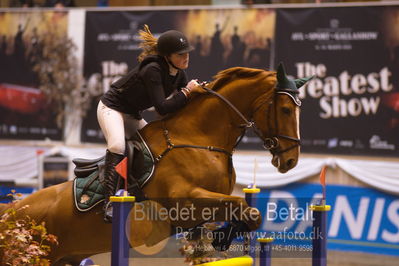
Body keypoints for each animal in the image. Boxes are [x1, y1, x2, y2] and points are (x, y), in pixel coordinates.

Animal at [0, 64, 310, 264]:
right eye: (285, 110)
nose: (290, 160)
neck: (199, 138)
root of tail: (13, 212)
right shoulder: (184, 201)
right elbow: (245, 209)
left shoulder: (206, 204)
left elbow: (242, 211)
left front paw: (223, 237)